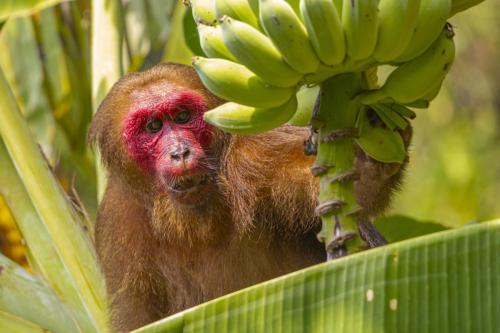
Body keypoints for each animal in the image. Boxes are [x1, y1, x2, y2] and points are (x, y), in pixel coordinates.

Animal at [90, 63, 410, 332]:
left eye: (182, 117)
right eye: (152, 127)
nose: (180, 152)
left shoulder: (255, 155)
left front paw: (370, 163)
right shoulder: (119, 224)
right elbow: (139, 317)